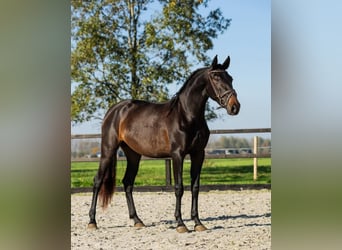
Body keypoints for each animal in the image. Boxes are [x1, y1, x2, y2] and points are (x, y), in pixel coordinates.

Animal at [87, 54, 240, 232]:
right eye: (216, 78)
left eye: (230, 78)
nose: (235, 107)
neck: (186, 115)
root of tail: (114, 110)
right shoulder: (177, 155)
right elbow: (179, 188)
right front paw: (180, 224)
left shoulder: (198, 154)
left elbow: (195, 187)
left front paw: (198, 223)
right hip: (108, 150)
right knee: (98, 181)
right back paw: (92, 221)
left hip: (133, 155)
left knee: (128, 183)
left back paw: (137, 220)